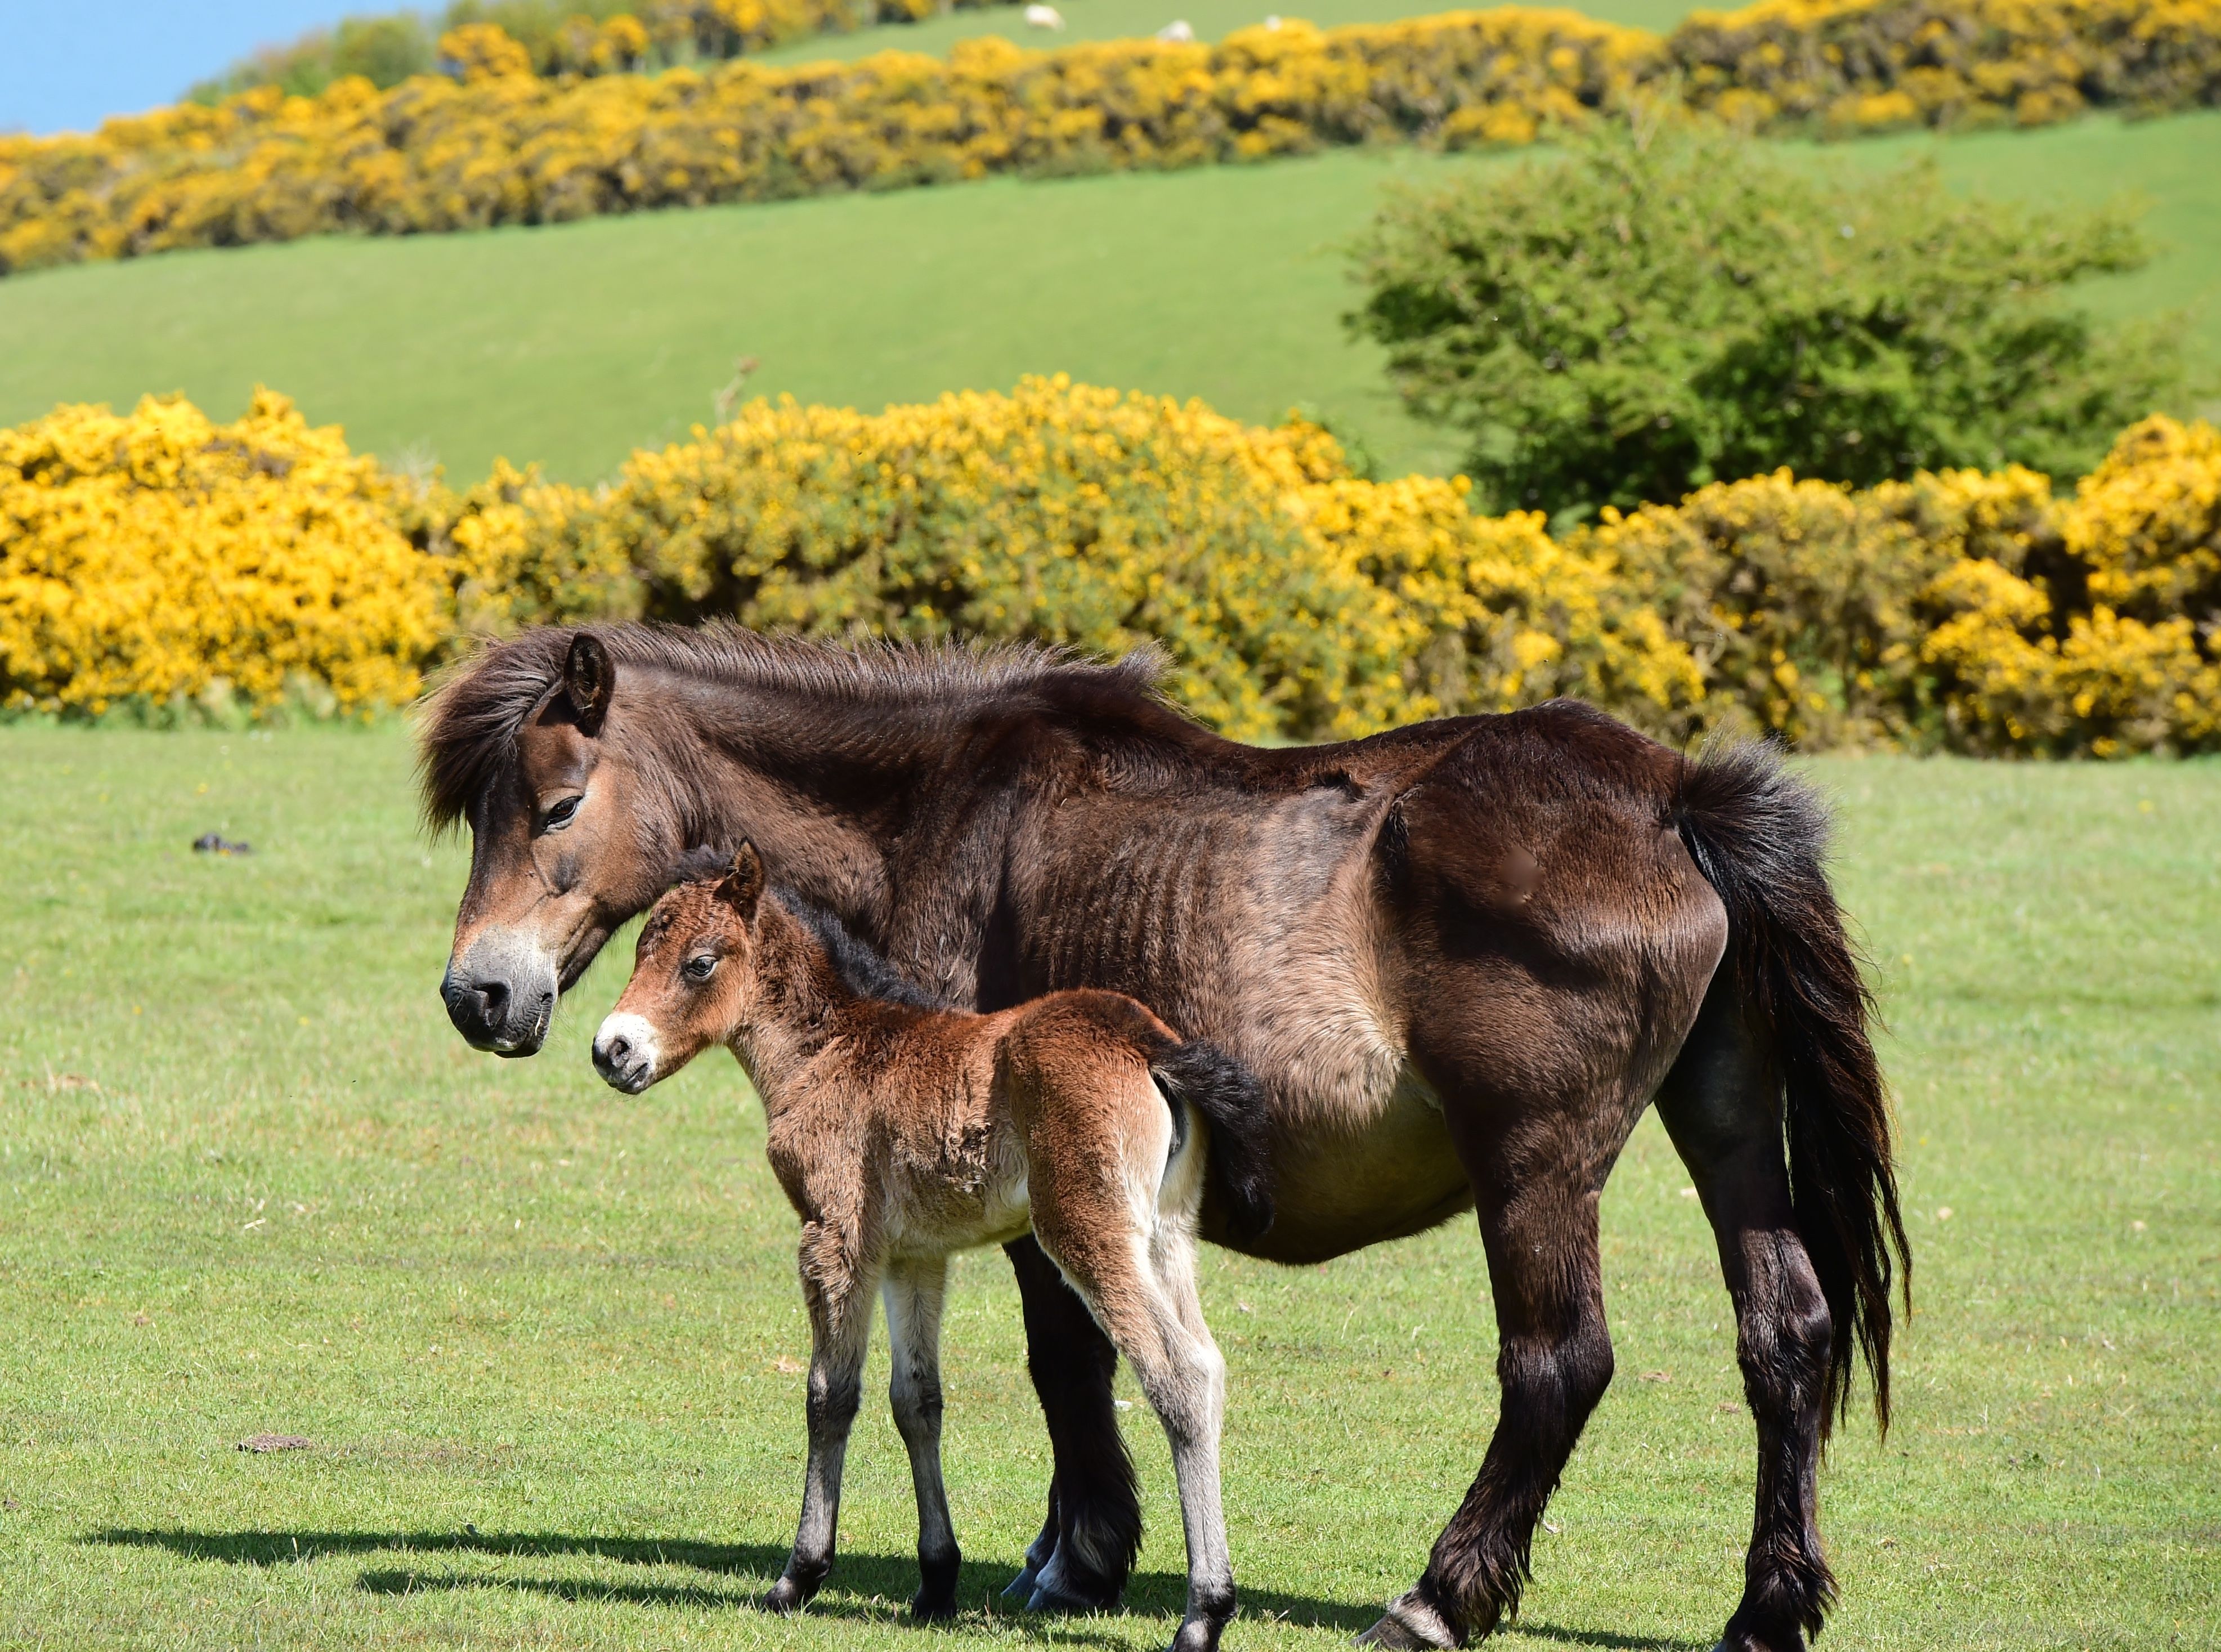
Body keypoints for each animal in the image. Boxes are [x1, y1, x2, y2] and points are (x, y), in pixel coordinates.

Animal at [592, 842, 1276, 1649]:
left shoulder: (835, 1236)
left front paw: (799, 1576)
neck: (830, 1049)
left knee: (1177, 1376)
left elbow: (831, 1395)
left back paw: (1203, 1614)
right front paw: (936, 1581)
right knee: (1206, 1364)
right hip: (1166, 1237)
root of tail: (1147, 1041)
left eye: (700, 963)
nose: (611, 1050)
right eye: (640, 948)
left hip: (1088, 1230)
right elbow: (916, 1400)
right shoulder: (913, 1256)